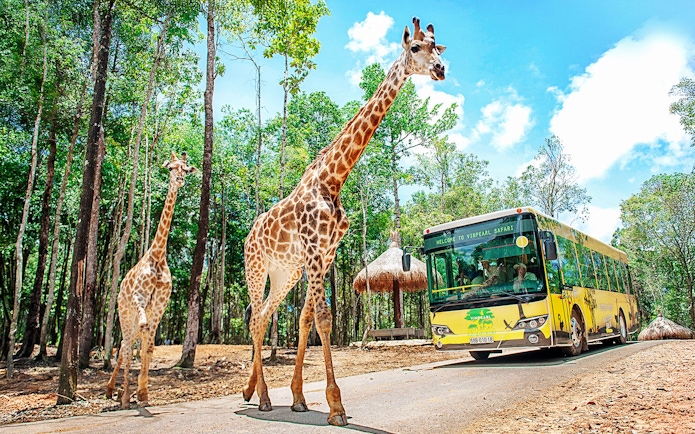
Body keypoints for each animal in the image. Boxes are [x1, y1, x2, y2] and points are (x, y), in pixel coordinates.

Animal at [106, 151, 196, 410]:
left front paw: (144, 394)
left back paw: (117, 391)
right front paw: (131, 395)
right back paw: (120, 395)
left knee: (127, 345)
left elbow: (149, 348)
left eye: (186, 169)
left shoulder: (159, 305)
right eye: (170, 168)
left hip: (134, 318)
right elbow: (138, 344)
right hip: (124, 313)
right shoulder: (140, 297)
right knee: (125, 347)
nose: (179, 180)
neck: (157, 256)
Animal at [242, 17, 446, 426]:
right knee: (255, 317)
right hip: (256, 268)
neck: (333, 179)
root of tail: (246, 237)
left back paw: (252, 392)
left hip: (284, 273)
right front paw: (336, 406)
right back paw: (264, 399)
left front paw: (300, 397)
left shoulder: (324, 254)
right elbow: (323, 317)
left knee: (265, 316)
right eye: (415, 48)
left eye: (438, 45)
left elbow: (306, 318)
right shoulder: (313, 250)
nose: (440, 69)